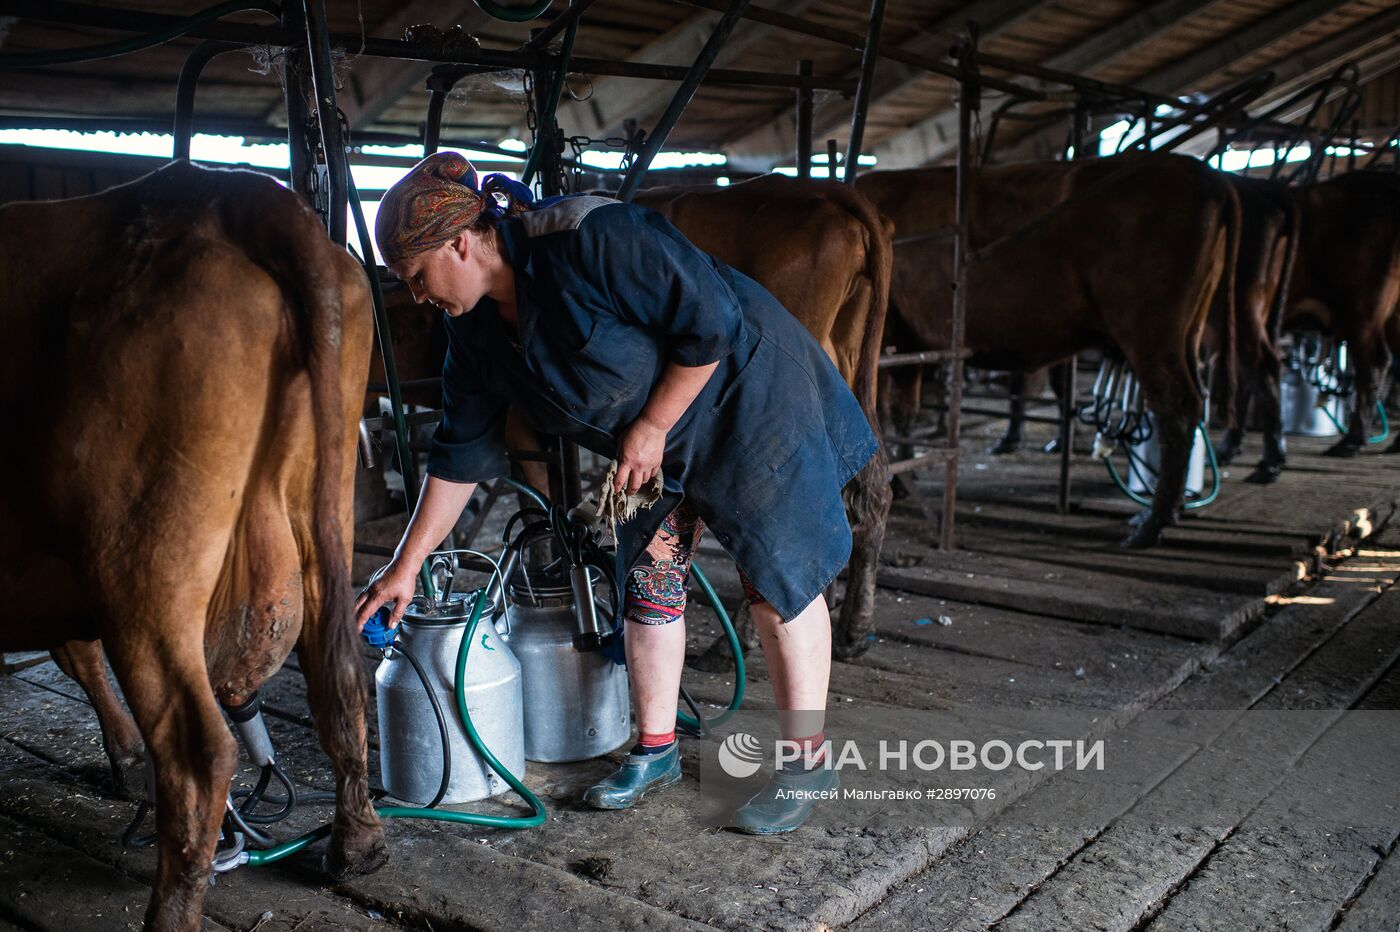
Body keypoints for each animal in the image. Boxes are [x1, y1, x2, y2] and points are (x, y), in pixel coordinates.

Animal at [0, 163, 383, 923]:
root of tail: (231, 194)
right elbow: (73, 648)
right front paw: (123, 760)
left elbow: (73, 651)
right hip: (318, 514)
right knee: (341, 677)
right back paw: (357, 845)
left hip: (137, 557)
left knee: (200, 754)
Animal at [851, 151, 1237, 545]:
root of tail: (1197, 169)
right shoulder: (908, 339)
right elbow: (904, 412)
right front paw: (902, 478)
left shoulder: (889, 333)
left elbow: (880, 412)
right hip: (1187, 331)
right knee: (1193, 401)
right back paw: (1170, 511)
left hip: (1151, 332)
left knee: (1176, 407)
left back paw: (1150, 525)